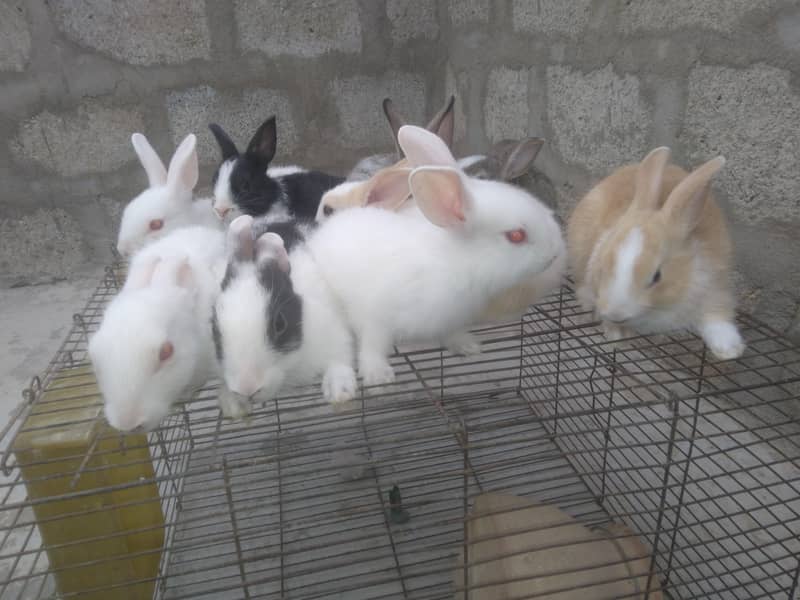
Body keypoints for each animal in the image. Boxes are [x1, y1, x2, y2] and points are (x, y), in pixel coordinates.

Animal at [211, 215, 357, 418]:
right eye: (215, 328)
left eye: (279, 323)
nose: (247, 389)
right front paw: (233, 405)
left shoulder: (334, 330)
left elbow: (339, 359)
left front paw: (340, 392)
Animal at [306, 125, 564, 386]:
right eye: (516, 236)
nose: (554, 255)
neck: (458, 262)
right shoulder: (376, 315)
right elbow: (372, 345)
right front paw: (378, 375)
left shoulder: (448, 319)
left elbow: (451, 334)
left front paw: (467, 346)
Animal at [567, 146, 745, 360]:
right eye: (602, 267)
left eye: (657, 276)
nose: (616, 314)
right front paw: (617, 336)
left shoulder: (715, 283)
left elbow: (718, 316)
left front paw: (729, 350)